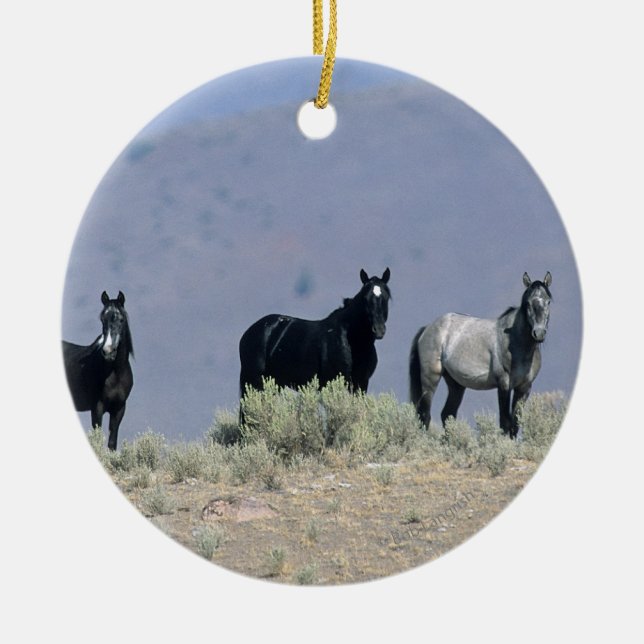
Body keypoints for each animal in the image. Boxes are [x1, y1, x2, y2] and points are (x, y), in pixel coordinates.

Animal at [62, 291, 134, 450]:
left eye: (121, 319)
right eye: (102, 320)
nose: (108, 351)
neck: (115, 372)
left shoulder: (119, 409)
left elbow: (112, 443)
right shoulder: (97, 407)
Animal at [239, 268, 392, 420]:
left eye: (386, 297)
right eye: (365, 298)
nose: (379, 330)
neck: (351, 341)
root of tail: (248, 333)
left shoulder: (361, 384)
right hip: (254, 381)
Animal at [409, 272, 552, 438]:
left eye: (548, 302)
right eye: (528, 303)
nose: (539, 333)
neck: (515, 342)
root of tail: (427, 328)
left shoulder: (524, 388)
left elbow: (515, 425)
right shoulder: (504, 385)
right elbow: (505, 423)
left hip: (456, 384)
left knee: (447, 414)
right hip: (430, 379)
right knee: (424, 415)